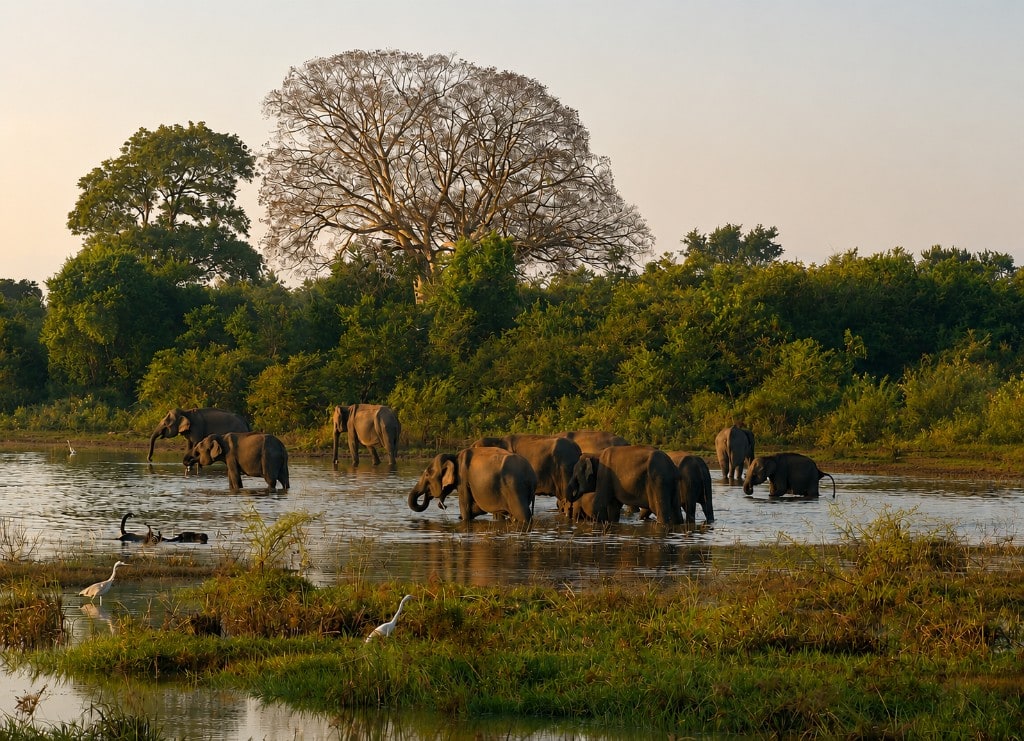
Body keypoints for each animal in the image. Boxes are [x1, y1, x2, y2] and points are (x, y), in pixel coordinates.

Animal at [408, 447, 537, 523]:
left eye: (427, 475)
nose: (444, 505)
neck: (453, 457)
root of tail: (531, 474)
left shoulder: (463, 478)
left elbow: (465, 506)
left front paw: (463, 518)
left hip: (515, 488)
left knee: (523, 514)